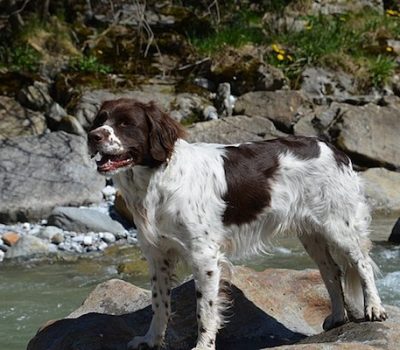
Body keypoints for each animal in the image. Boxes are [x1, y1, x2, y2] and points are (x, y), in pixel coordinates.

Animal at [88, 98, 388, 350]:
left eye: (126, 123)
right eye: (100, 119)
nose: (93, 136)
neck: (157, 178)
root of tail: (335, 149)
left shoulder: (204, 256)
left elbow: (205, 309)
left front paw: (203, 346)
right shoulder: (158, 254)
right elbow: (159, 304)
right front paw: (151, 340)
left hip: (339, 226)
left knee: (362, 264)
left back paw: (374, 309)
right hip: (312, 233)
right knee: (331, 271)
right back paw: (337, 317)